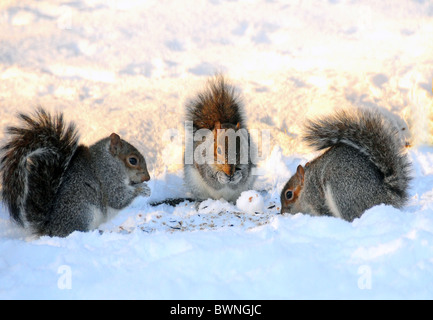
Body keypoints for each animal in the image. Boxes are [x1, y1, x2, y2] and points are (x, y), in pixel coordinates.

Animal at [0, 109, 150, 236]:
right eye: (132, 160)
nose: (147, 178)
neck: (108, 161)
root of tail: (49, 228)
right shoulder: (107, 176)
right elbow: (117, 197)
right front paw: (142, 189)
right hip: (83, 213)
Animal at [280, 109, 412, 221]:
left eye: (289, 194)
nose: (282, 212)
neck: (305, 187)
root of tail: (386, 196)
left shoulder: (315, 196)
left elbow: (324, 210)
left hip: (341, 191)